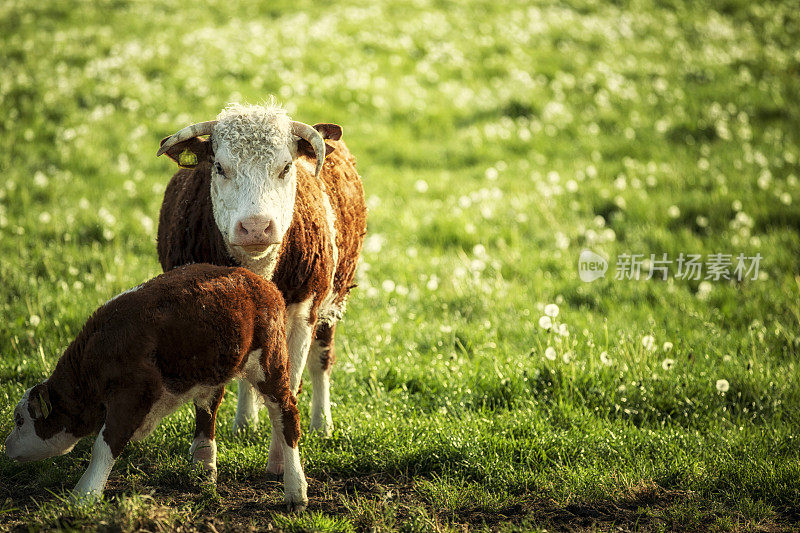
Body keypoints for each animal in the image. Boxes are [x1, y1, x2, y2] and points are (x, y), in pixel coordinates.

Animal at [4, 264, 308, 510]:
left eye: (20, 420)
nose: (6, 445)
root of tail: (261, 284)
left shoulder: (133, 394)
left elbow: (104, 446)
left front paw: (83, 497)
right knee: (208, 408)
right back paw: (204, 469)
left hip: (270, 362)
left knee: (286, 415)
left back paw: (296, 491)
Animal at [155, 102, 366, 476]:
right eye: (220, 167)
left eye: (286, 167)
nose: (255, 227)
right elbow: (209, 397)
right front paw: (203, 462)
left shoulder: (304, 313)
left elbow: (288, 386)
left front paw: (281, 459)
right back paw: (244, 422)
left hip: (331, 301)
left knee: (321, 362)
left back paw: (321, 423)